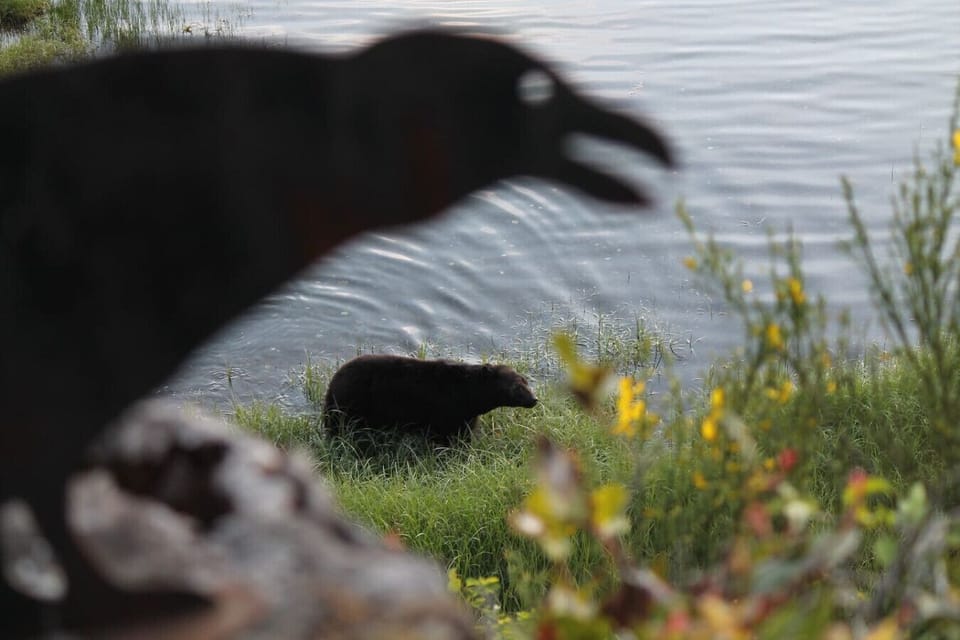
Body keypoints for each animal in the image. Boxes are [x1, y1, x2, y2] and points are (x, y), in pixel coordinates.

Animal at [322, 355, 537, 444]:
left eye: (526, 381)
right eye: (517, 386)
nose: (534, 399)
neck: (470, 395)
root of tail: (332, 383)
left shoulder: (467, 414)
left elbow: (467, 432)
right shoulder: (447, 409)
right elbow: (445, 436)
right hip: (352, 405)